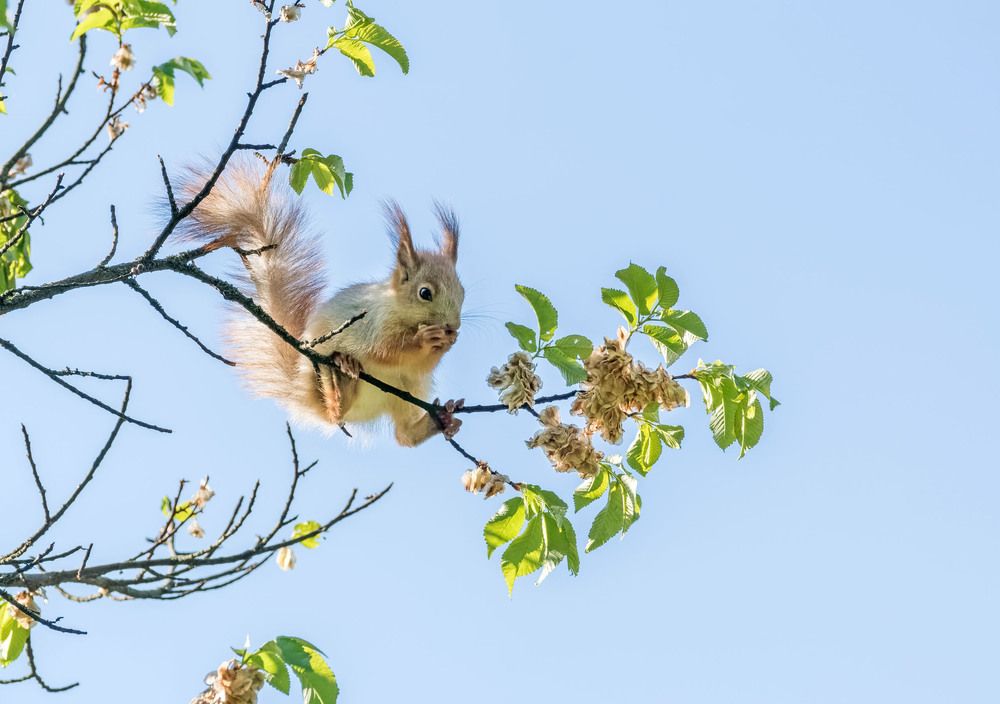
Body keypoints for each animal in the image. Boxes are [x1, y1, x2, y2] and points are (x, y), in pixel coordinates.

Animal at [178, 160, 465, 446]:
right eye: (425, 293)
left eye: (462, 293)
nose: (452, 326)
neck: (400, 311)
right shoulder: (372, 323)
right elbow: (385, 350)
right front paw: (426, 339)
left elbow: (420, 365)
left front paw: (447, 342)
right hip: (319, 374)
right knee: (335, 414)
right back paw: (343, 382)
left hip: (407, 392)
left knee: (404, 435)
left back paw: (440, 420)